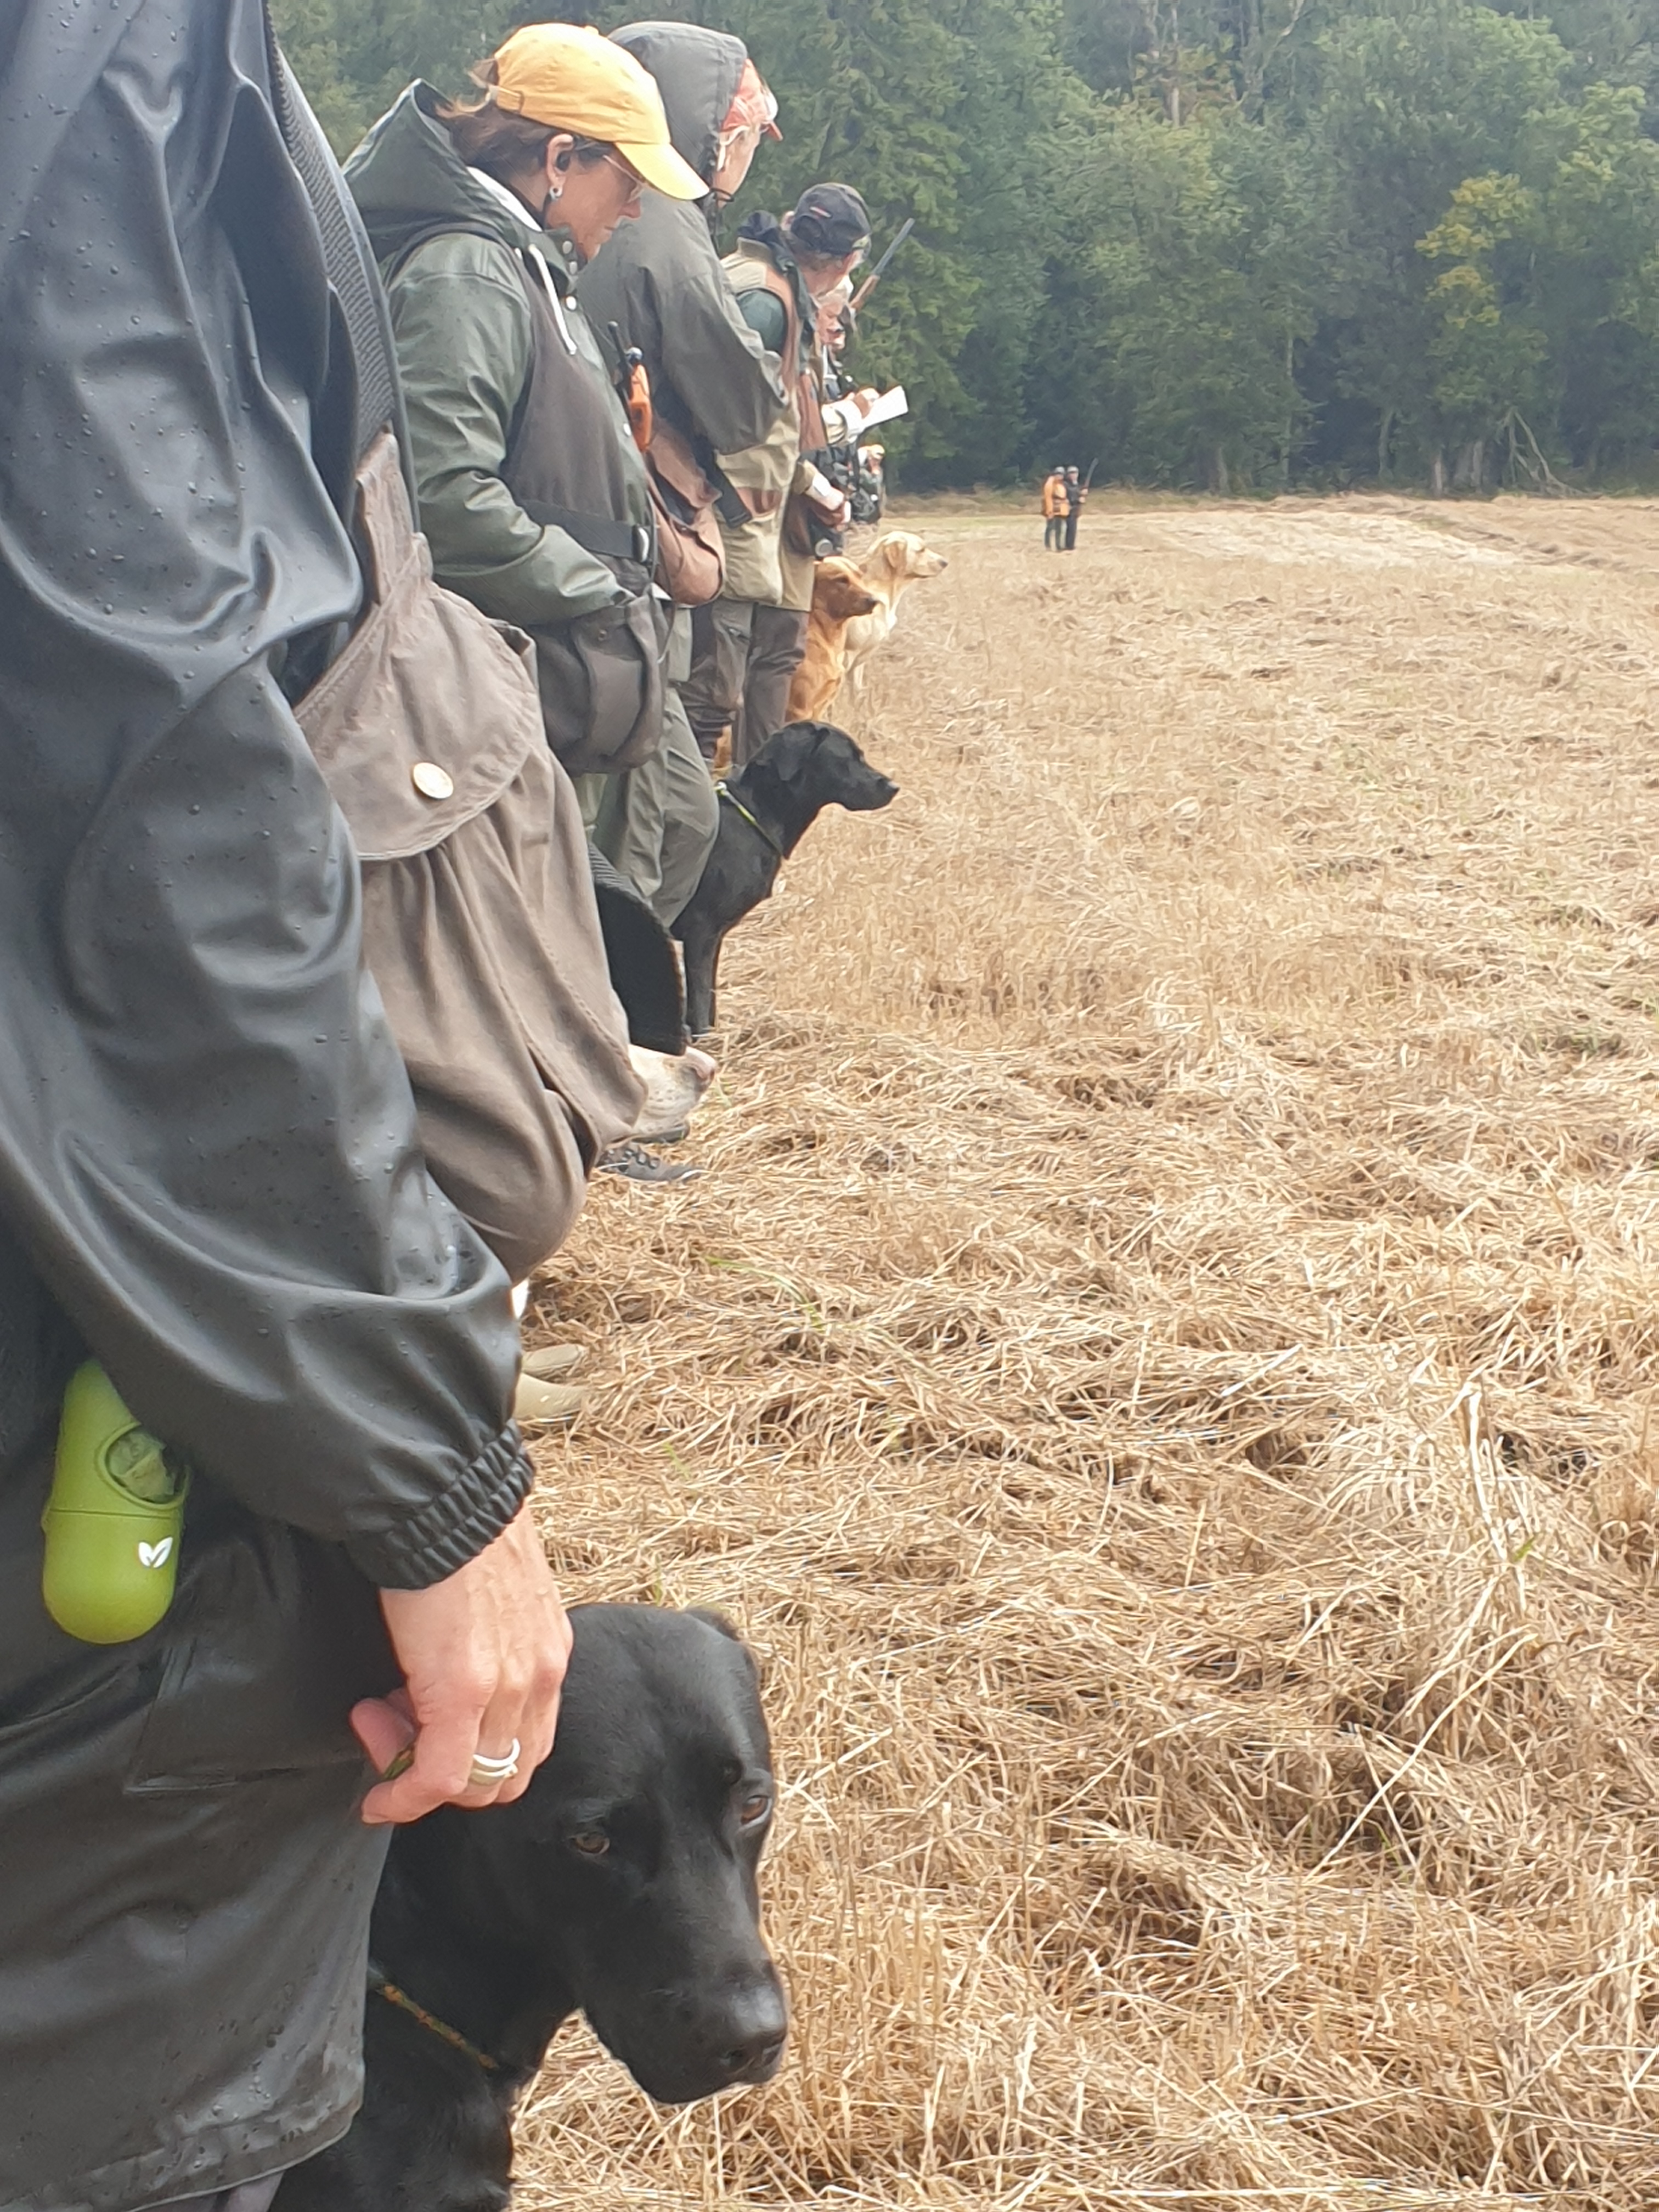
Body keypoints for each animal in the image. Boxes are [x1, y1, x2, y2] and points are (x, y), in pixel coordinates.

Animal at [671, 721, 898, 1037]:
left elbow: (711, 998)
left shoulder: (714, 937)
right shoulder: (701, 930)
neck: (755, 815)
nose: (893, 787)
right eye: (849, 758)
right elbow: (702, 1001)